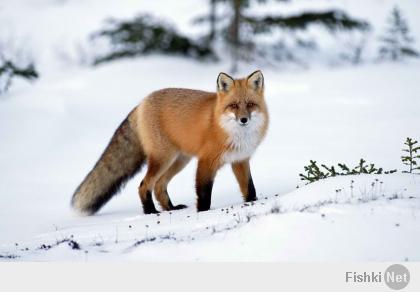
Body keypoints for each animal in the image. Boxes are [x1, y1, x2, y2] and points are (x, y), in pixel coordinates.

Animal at [71, 70, 270, 214]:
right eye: (234, 106)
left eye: (250, 104)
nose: (243, 120)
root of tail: (142, 102)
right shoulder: (206, 161)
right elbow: (204, 193)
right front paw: (203, 213)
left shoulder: (240, 160)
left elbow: (249, 188)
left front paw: (253, 203)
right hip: (163, 158)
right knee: (144, 185)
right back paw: (151, 212)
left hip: (179, 160)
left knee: (159, 186)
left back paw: (171, 208)